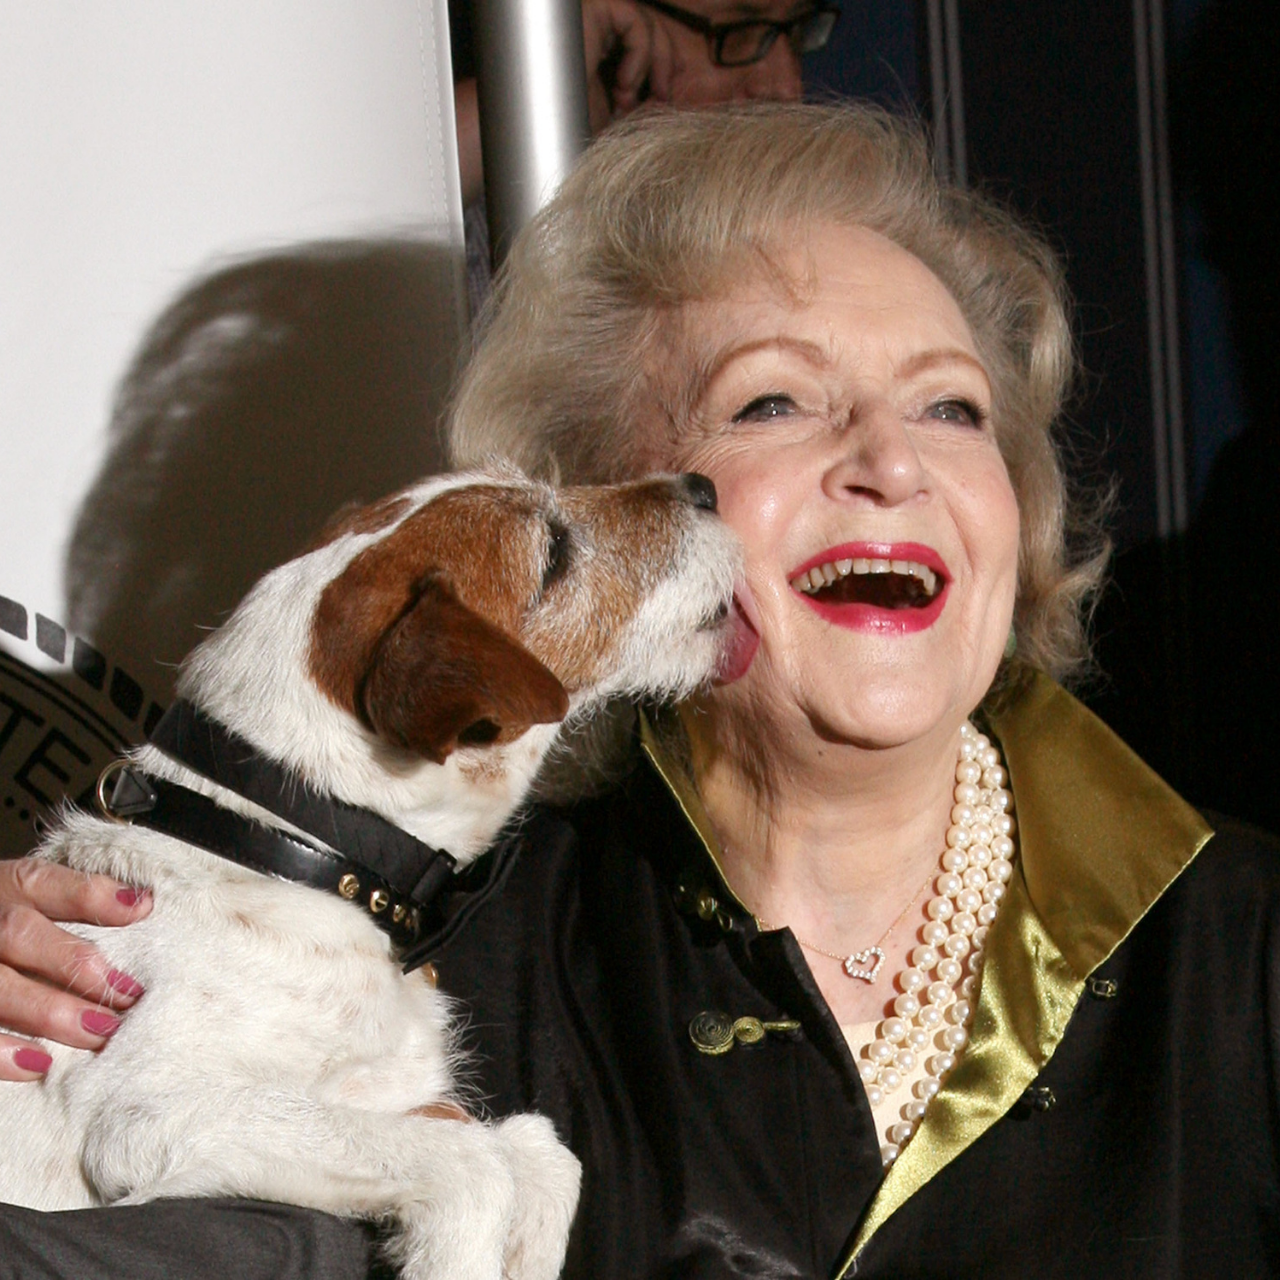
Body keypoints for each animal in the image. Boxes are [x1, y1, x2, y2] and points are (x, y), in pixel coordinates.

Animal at [0, 468, 742, 1280]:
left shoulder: (410, 1098)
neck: (288, 844)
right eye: (552, 553)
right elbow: (472, 1165)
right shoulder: (142, 1114)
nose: (702, 485)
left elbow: (542, 1154)